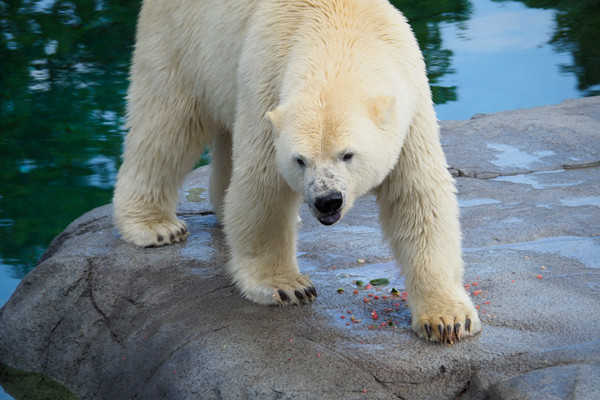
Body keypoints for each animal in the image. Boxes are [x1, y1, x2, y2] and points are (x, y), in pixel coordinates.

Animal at [113, 0, 482, 344]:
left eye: (348, 154)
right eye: (300, 160)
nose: (327, 201)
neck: (339, 30)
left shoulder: (410, 103)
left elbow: (418, 194)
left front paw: (447, 320)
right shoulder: (267, 85)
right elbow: (263, 185)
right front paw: (288, 286)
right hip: (179, 39)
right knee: (166, 123)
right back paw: (155, 226)